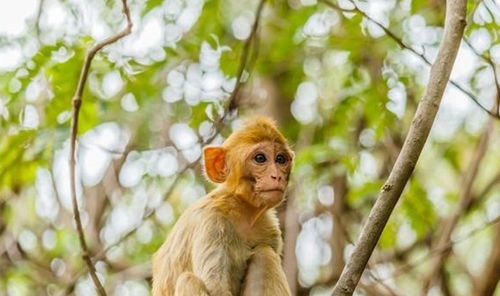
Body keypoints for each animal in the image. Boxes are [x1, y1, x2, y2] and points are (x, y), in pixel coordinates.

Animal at [152, 116, 292, 296]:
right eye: (260, 158)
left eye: (280, 159)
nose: (277, 176)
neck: (241, 209)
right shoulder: (212, 224)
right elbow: (216, 289)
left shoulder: (269, 227)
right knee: (187, 280)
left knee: (264, 253)